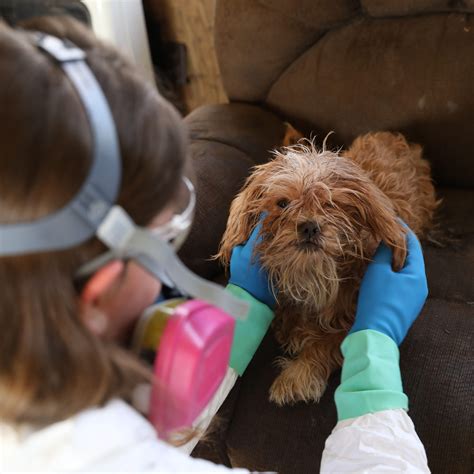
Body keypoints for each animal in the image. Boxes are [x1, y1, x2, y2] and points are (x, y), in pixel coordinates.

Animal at [217, 131, 438, 406]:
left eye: (331, 204)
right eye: (283, 203)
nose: (309, 226)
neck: (313, 273)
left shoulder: (349, 322)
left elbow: (325, 345)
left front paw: (298, 373)